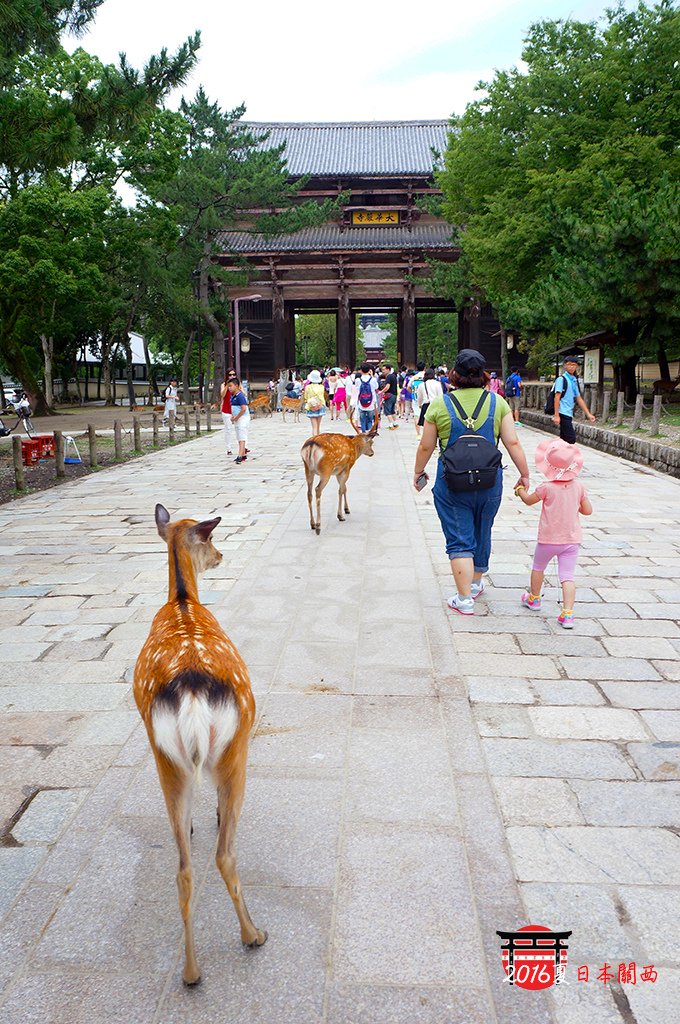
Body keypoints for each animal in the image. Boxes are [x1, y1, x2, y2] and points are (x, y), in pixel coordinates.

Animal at [133, 503, 266, 983]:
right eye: (209, 539)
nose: (222, 555)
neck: (183, 600)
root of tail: (191, 695)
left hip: (165, 758)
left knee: (184, 869)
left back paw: (190, 972)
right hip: (235, 750)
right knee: (224, 854)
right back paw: (253, 934)